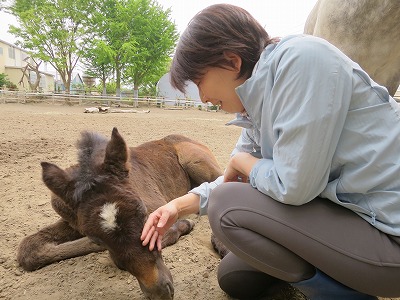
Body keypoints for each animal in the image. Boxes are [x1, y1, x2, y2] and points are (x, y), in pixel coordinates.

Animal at [17, 128, 223, 300]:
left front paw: (186, 225)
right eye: (96, 238)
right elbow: (28, 250)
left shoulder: (159, 207)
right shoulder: (73, 222)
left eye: (143, 213)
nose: (160, 292)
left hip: (195, 162)